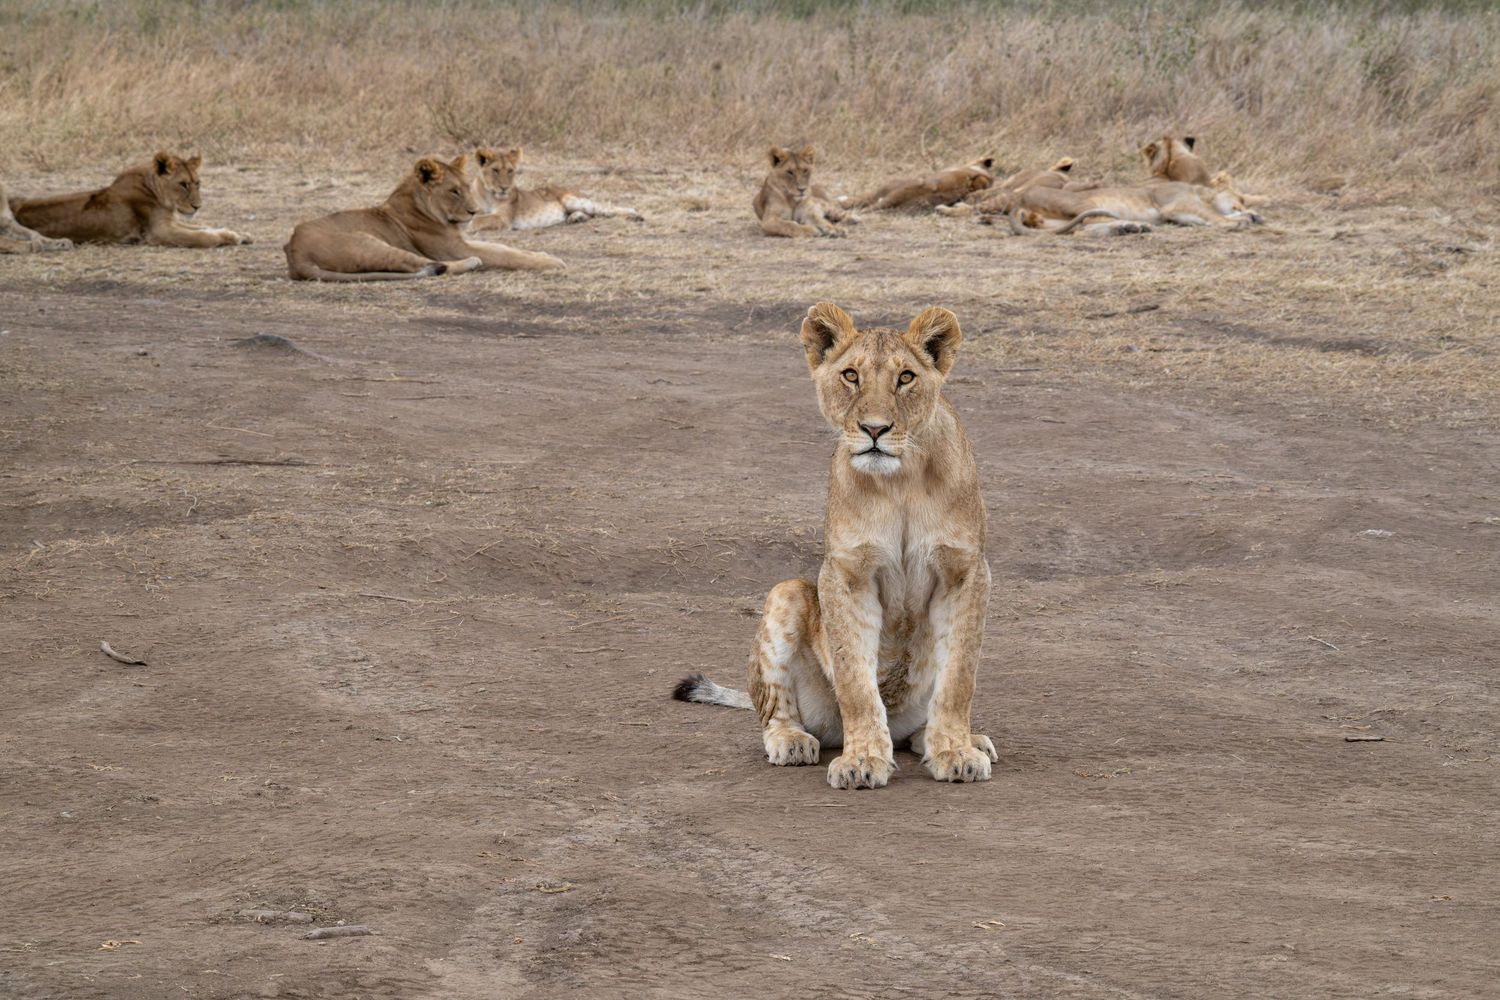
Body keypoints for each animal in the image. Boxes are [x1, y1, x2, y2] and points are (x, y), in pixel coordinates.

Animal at [9, 152, 250, 248]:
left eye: (197, 183)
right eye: (183, 184)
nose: (197, 206)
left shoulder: (171, 222)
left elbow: (204, 226)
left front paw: (239, 233)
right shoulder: (158, 231)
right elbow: (201, 237)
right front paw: (229, 238)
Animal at [284, 155, 565, 282]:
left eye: (467, 186)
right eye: (453, 191)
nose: (475, 212)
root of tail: (296, 253)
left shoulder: (462, 241)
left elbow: (503, 247)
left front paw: (543, 255)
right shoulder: (454, 249)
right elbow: (505, 256)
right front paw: (552, 263)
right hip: (369, 243)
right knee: (423, 265)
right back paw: (471, 263)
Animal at [466, 147, 642, 231]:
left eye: (510, 171)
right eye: (495, 170)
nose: (505, 188)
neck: (488, 195)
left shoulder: (504, 218)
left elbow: (478, 220)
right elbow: (477, 216)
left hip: (572, 200)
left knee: (606, 208)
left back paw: (635, 215)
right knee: (592, 214)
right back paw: (576, 218)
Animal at [674, 302, 997, 790]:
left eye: (905, 377)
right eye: (850, 375)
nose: (875, 429)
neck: (900, 482)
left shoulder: (965, 571)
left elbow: (959, 677)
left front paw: (955, 752)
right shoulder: (846, 573)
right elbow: (856, 682)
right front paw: (862, 759)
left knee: (921, 722)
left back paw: (955, 739)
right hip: (786, 593)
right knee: (775, 713)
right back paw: (792, 742)